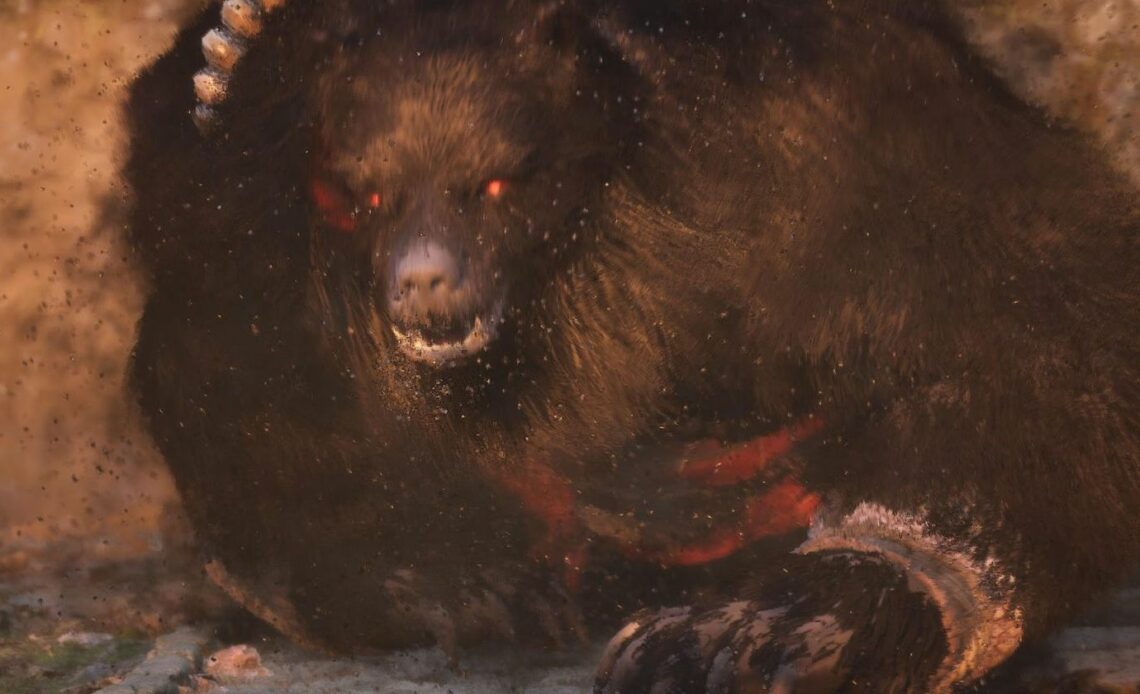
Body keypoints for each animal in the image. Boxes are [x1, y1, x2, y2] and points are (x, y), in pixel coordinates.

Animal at [124, 0, 1140, 690]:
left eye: (498, 184)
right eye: (362, 193)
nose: (425, 285)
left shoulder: (838, 144)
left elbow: (1028, 343)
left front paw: (764, 628)